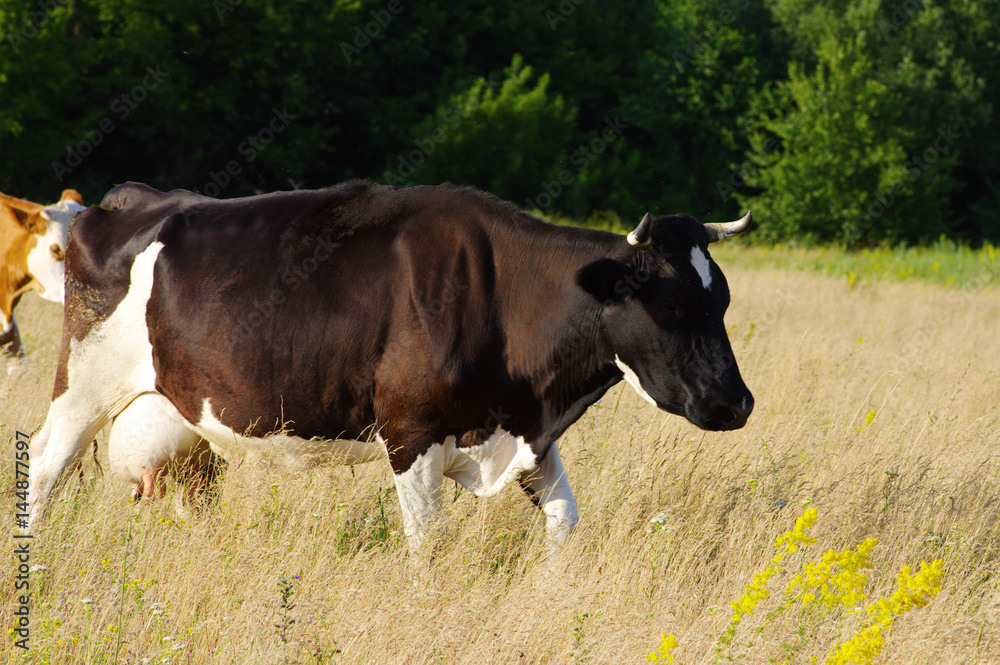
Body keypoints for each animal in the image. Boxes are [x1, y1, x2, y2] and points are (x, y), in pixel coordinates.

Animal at [27, 179, 752, 552]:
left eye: (722, 298)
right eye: (670, 303)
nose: (736, 403)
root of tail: (126, 198)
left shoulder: (521, 431)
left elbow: (563, 522)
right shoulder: (412, 432)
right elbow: (428, 544)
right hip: (83, 384)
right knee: (44, 467)